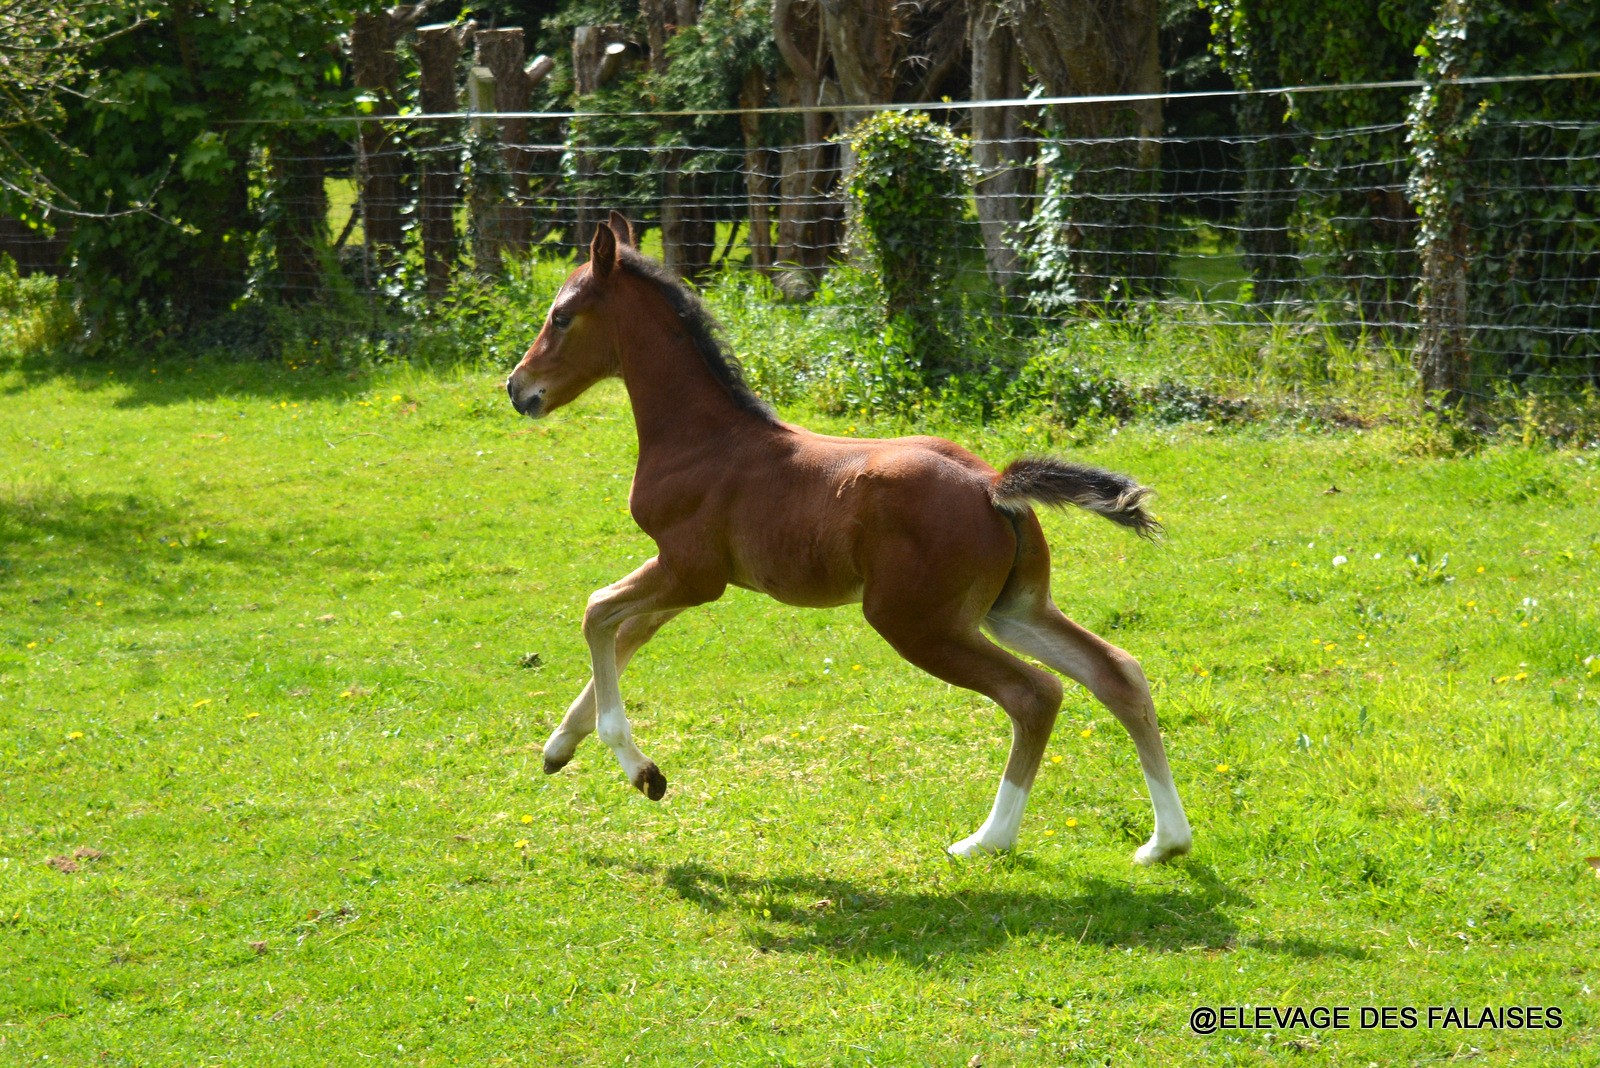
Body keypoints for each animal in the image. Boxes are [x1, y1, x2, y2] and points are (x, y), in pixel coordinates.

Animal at [505, 212, 1196, 863]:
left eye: (561, 317)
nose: (517, 389)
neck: (702, 438)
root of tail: (993, 486)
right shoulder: (690, 577)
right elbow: (626, 635)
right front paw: (558, 747)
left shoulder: (691, 572)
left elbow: (597, 612)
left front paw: (642, 771)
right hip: (1013, 609)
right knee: (1118, 672)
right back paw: (1166, 842)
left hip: (916, 621)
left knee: (1034, 693)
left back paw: (987, 840)